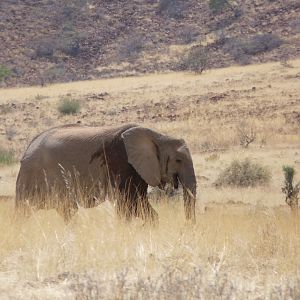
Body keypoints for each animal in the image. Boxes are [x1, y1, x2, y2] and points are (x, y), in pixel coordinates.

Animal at [15, 123, 197, 224]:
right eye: (178, 160)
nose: (187, 226)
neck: (157, 135)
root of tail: (27, 149)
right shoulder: (124, 164)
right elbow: (130, 203)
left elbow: (138, 203)